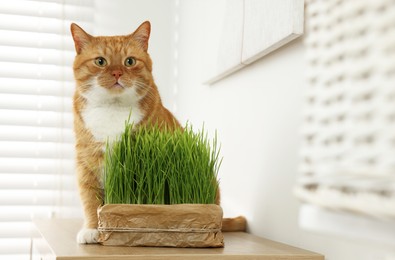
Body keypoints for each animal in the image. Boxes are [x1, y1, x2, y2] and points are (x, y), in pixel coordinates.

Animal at [70, 20, 246, 244]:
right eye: (100, 61)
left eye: (129, 61)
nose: (117, 73)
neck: (113, 109)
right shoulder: (86, 164)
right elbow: (90, 202)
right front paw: (92, 229)